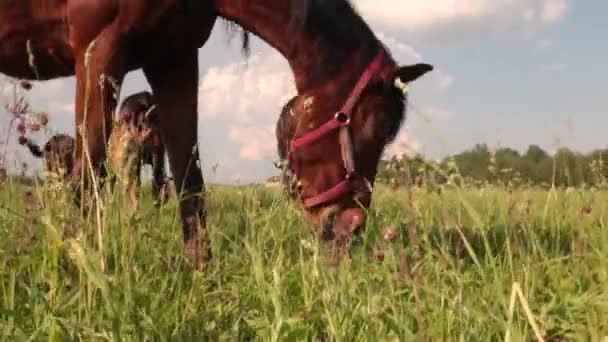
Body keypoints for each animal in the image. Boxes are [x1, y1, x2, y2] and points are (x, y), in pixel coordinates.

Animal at [0, 0, 432, 268]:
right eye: (371, 130)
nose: (350, 229)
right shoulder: (98, 50)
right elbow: (89, 174)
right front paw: (85, 271)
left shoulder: (173, 58)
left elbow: (190, 185)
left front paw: (201, 277)